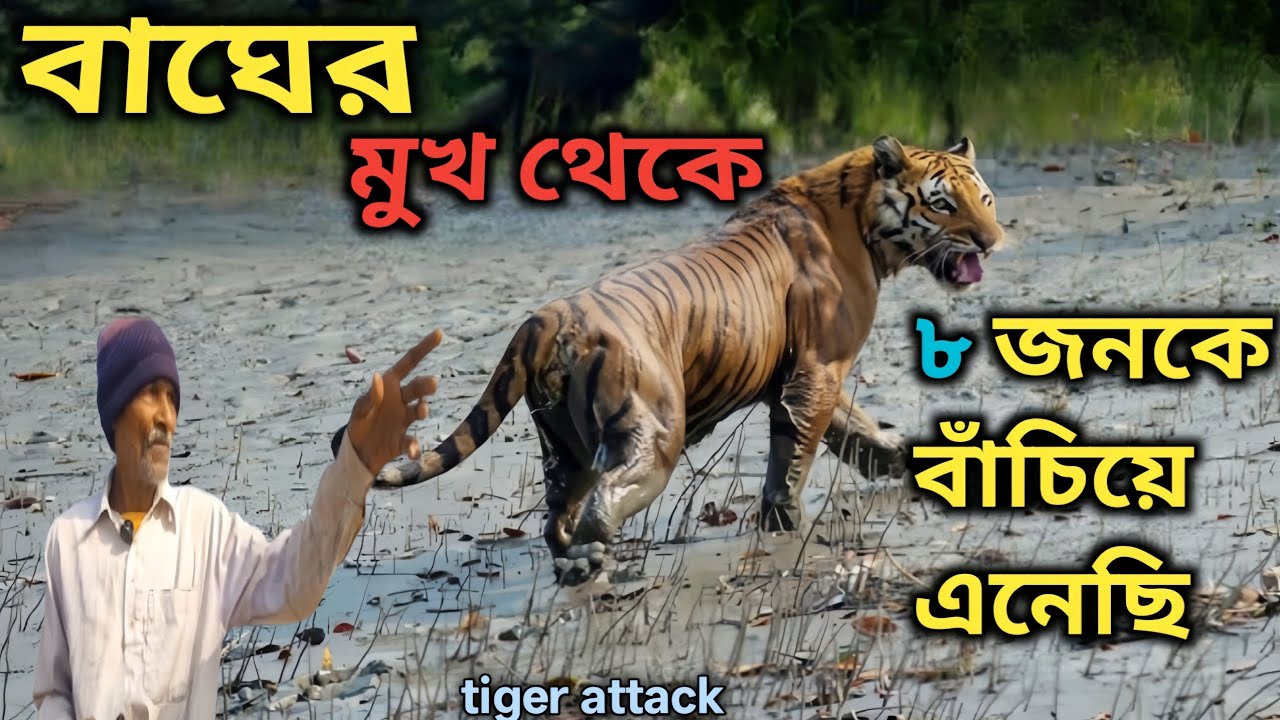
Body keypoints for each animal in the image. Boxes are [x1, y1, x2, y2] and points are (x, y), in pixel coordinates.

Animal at [331, 135, 1005, 585]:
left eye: (986, 198)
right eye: (944, 205)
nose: (992, 241)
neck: (860, 214)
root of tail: (544, 320)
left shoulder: (806, 375)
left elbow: (858, 431)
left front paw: (905, 464)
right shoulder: (816, 371)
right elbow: (793, 458)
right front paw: (786, 524)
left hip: (562, 443)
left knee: (557, 515)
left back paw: (574, 565)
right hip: (653, 433)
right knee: (604, 501)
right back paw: (597, 562)